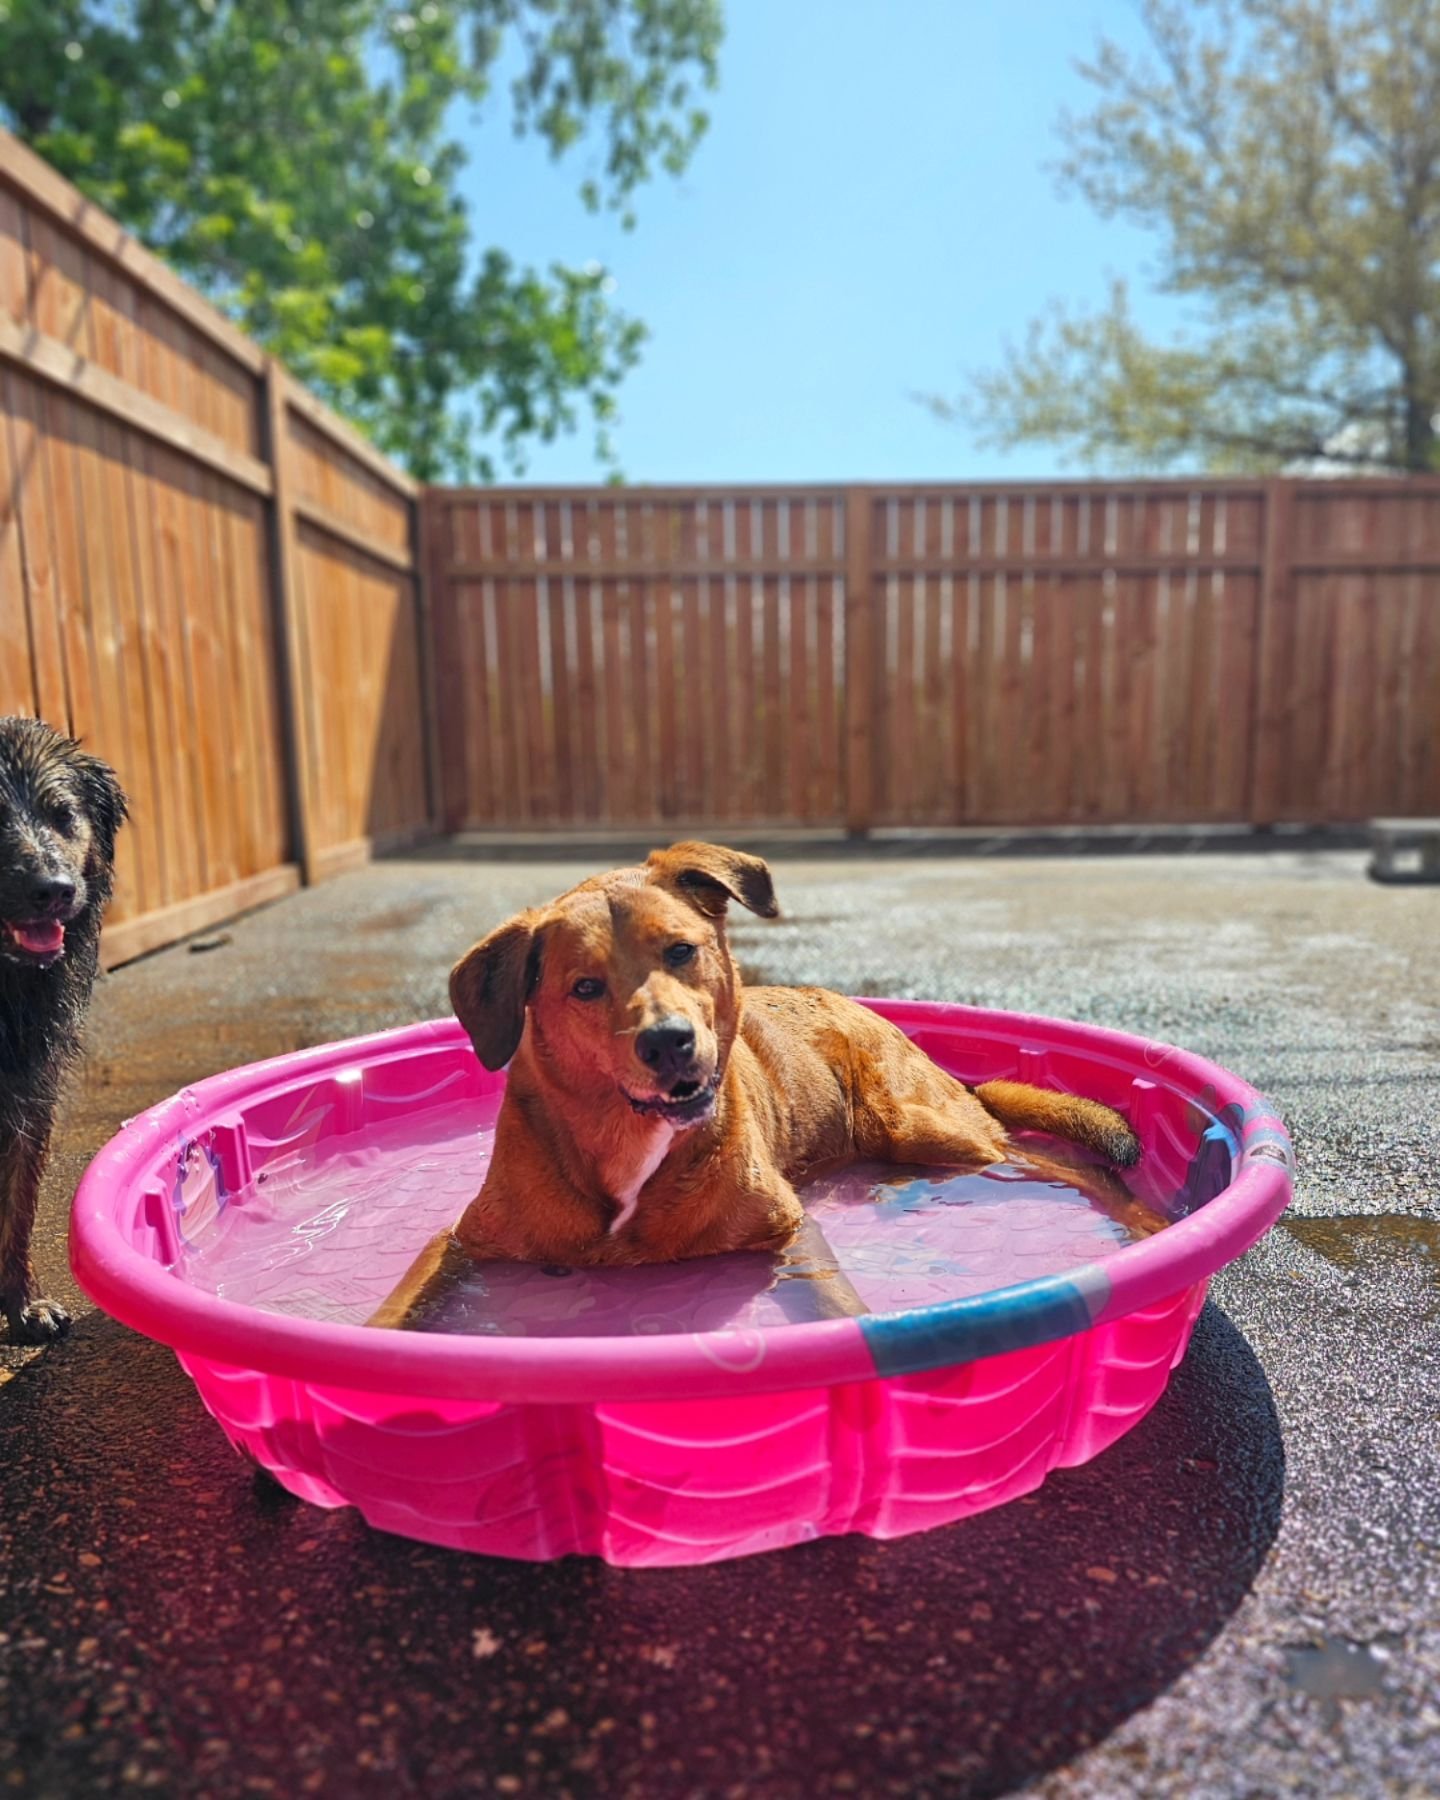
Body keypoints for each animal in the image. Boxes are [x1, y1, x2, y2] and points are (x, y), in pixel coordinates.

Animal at [374, 838, 1159, 1324]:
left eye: (681, 950)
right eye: (585, 987)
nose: (669, 1042)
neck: (628, 1143)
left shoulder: (790, 1231)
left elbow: (838, 1308)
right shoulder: (460, 1241)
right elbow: (399, 1308)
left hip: (926, 1124)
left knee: (1053, 1158)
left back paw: (1145, 1222)